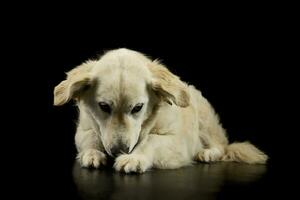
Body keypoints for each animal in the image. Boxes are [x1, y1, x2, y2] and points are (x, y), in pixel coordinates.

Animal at [53, 47, 268, 173]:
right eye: (104, 107)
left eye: (138, 108)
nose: (119, 151)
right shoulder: (85, 129)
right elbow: (91, 138)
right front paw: (92, 154)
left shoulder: (176, 142)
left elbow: (151, 141)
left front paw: (135, 157)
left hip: (204, 119)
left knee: (221, 146)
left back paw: (207, 153)